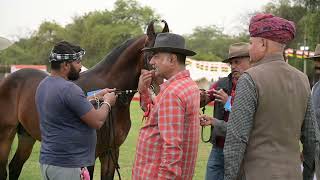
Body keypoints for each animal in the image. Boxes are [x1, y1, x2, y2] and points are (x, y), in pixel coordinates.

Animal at [0, 20, 170, 180]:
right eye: (151, 55)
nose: (162, 89)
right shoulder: (90, 156)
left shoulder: (111, 152)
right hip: (6, 136)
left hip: (26, 135)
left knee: (15, 167)